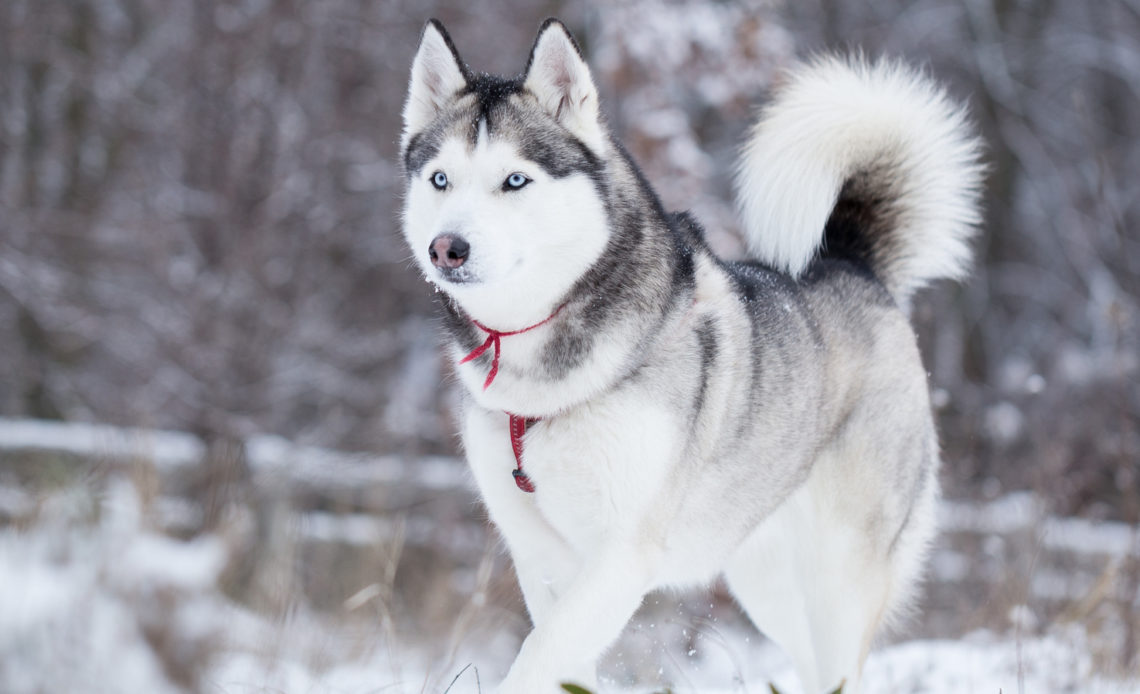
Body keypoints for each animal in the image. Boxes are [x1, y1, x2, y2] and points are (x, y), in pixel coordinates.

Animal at [399, 17, 980, 692]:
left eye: (515, 179)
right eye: (441, 179)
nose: (447, 247)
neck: (540, 368)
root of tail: (852, 264)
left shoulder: (622, 555)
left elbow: (538, 656)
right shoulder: (541, 558)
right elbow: (560, 658)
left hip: (840, 577)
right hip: (768, 581)